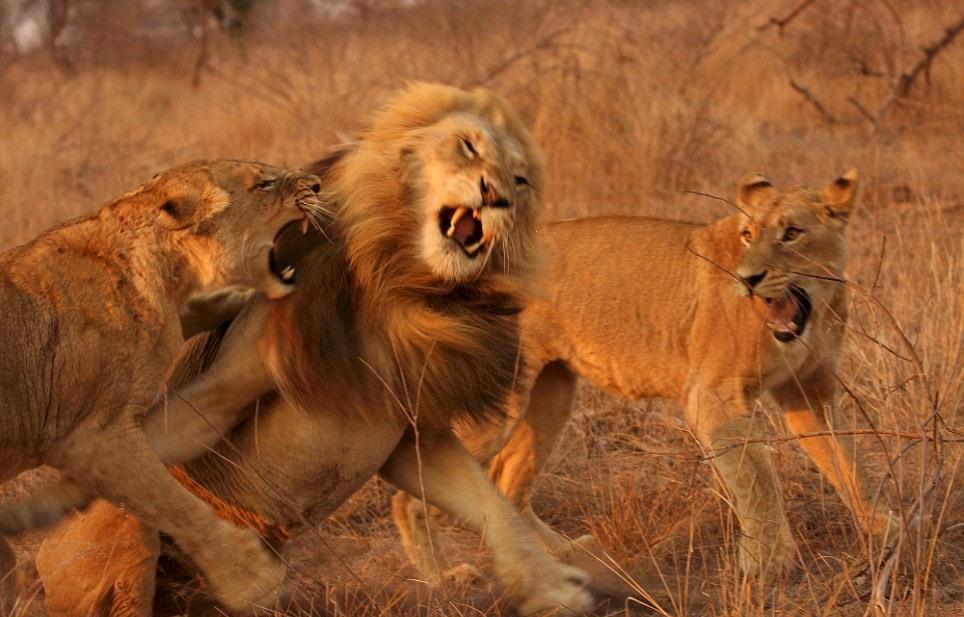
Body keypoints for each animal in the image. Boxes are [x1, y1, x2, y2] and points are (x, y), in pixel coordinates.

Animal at [0, 159, 324, 614]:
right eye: (264, 183)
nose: (318, 184)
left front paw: (236, 300)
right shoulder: (92, 440)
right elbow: (175, 505)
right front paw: (252, 579)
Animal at [35, 83, 594, 617]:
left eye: (520, 181)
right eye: (468, 146)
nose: (495, 196)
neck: (401, 286)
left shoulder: (414, 436)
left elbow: (492, 506)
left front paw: (555, 588)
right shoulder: (228, 381)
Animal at [393, 169, 898, 587]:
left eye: (792, 233)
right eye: (748, 234)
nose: (749, 279)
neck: (815, 311)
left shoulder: (808, 394)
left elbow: (846, 462)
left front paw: (882, 526)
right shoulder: (713, 396)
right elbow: (757, 479)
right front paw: (766, 563)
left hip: (551, 390)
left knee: (508, 480)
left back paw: (565, 555)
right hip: (500, 402)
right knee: (417, 486)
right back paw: (443, 579)